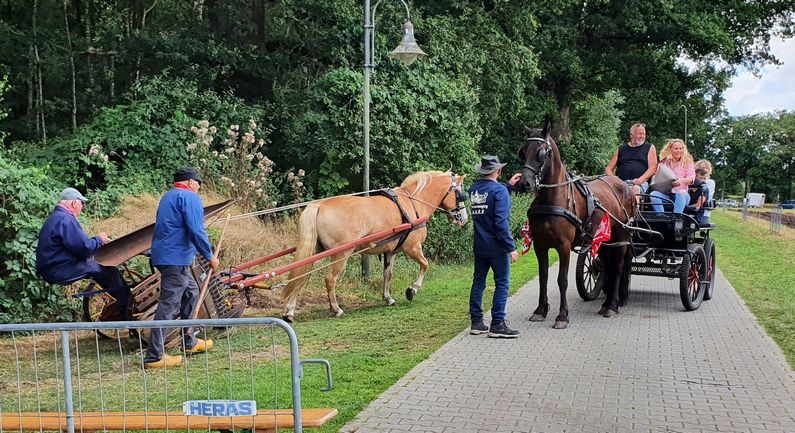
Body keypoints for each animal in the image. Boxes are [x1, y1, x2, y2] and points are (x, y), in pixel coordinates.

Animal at [282, 170, 470, 322]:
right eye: (460, 194)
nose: (463, 218)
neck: (413, 203)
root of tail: (318, 205)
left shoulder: (390, 252)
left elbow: (388, 274)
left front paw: (388, 298)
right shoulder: (413, 248)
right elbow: (425, 265)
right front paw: (412, 290)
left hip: (314, 252)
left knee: (300, 276)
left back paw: (289, 311)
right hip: (342, 254)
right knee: (329, 279)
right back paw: (336, 309)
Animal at [516, 122, 640, 328]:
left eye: (542, 153)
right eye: (523, 152)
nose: (524, 183)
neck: (553, 198)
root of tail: (625, 186)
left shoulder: (564, 246)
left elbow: (562, 280)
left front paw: (562, 316)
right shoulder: (540, 246)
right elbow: (543, 277)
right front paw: (540, 310)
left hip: (621, 235)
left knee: (618, 267)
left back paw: (612, 306)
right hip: (604, 241)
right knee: (608, 266)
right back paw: (606, 305)